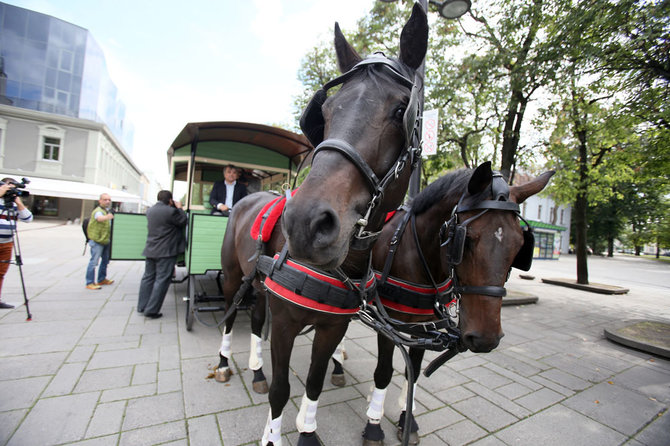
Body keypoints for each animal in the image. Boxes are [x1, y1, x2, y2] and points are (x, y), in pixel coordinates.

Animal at [214, 4, 430, 446]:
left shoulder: (333, 325)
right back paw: (226, 363)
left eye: (400, 110)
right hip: (232, 276)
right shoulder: (285, 321)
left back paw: (256, 370)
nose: (305, 223)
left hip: (259, 287)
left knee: (255, 320)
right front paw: (273, 436)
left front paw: (308, 431)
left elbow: (312, 382)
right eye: (325, 113)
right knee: (229, 314)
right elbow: (283, 390)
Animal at [362, 162, 556, 444]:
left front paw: (406, 418)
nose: (486, 339)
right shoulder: (386, 320)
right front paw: (374, 424)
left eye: (520, 245)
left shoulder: (423, 324)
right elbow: (384, 371)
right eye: (467, 240)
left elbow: (414, 371)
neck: (411, 249)